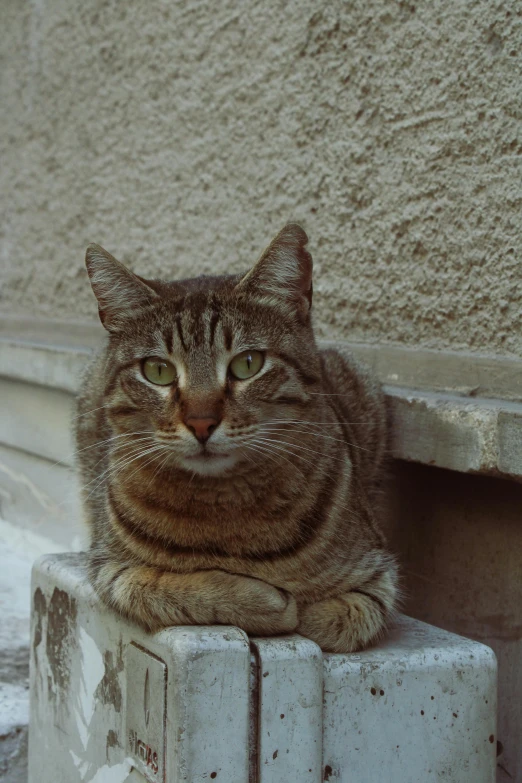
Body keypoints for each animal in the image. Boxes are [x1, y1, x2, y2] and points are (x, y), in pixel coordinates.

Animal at [75, 225, 396, 656]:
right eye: (158, 371)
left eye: (248, 364)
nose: (201, 423)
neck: (221, 505)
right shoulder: (110, 568)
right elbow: (168, 587)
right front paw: (267, 601)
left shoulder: (377, 573)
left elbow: (340, 619)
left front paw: (304, 608)